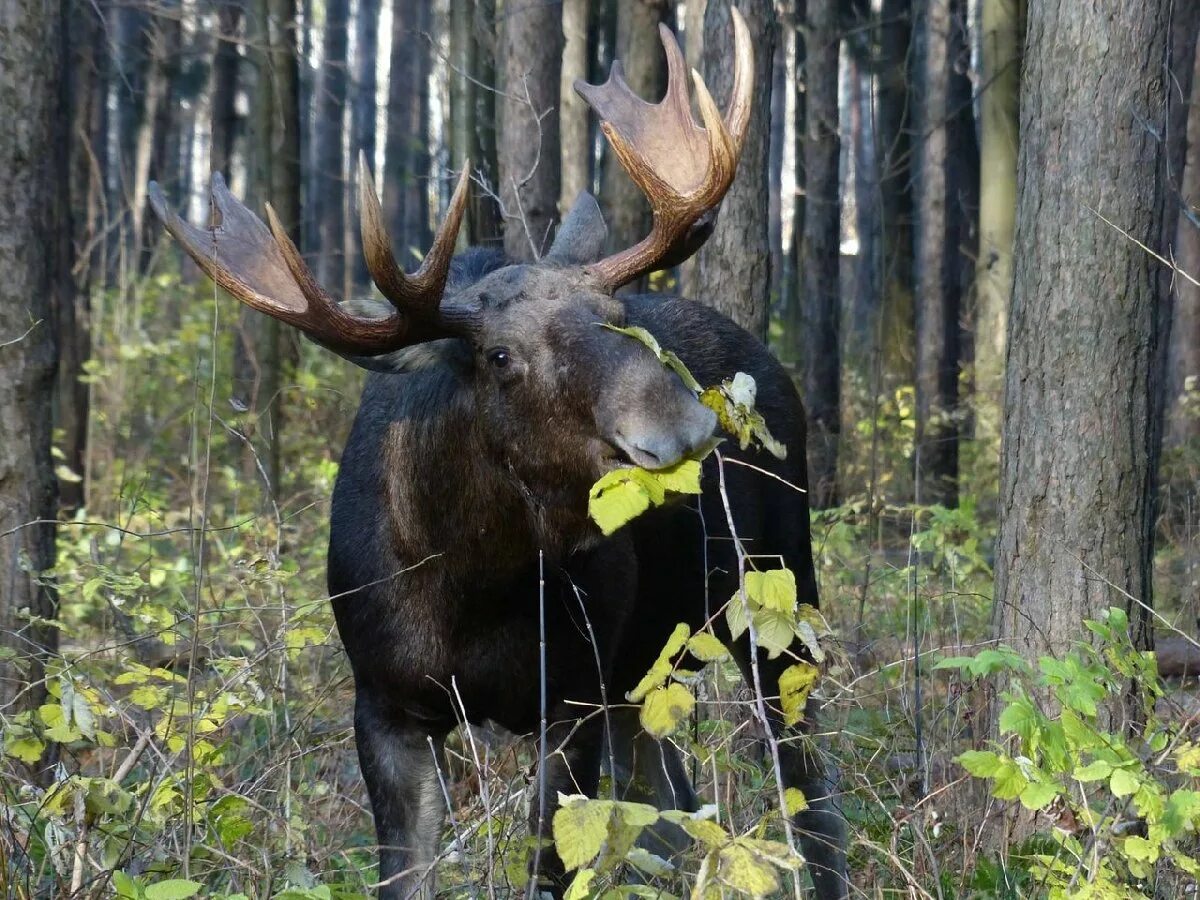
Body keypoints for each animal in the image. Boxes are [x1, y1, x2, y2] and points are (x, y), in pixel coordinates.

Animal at [147, 10, 844, 897]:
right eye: (499, 356)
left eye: (621, 313)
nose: (679, 426)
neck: (470, 580)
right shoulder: (385, 706)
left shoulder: (570, 699)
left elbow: (550, 868)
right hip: (647, 672)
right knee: (675, 803)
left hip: (777, 595)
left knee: (808, 791)